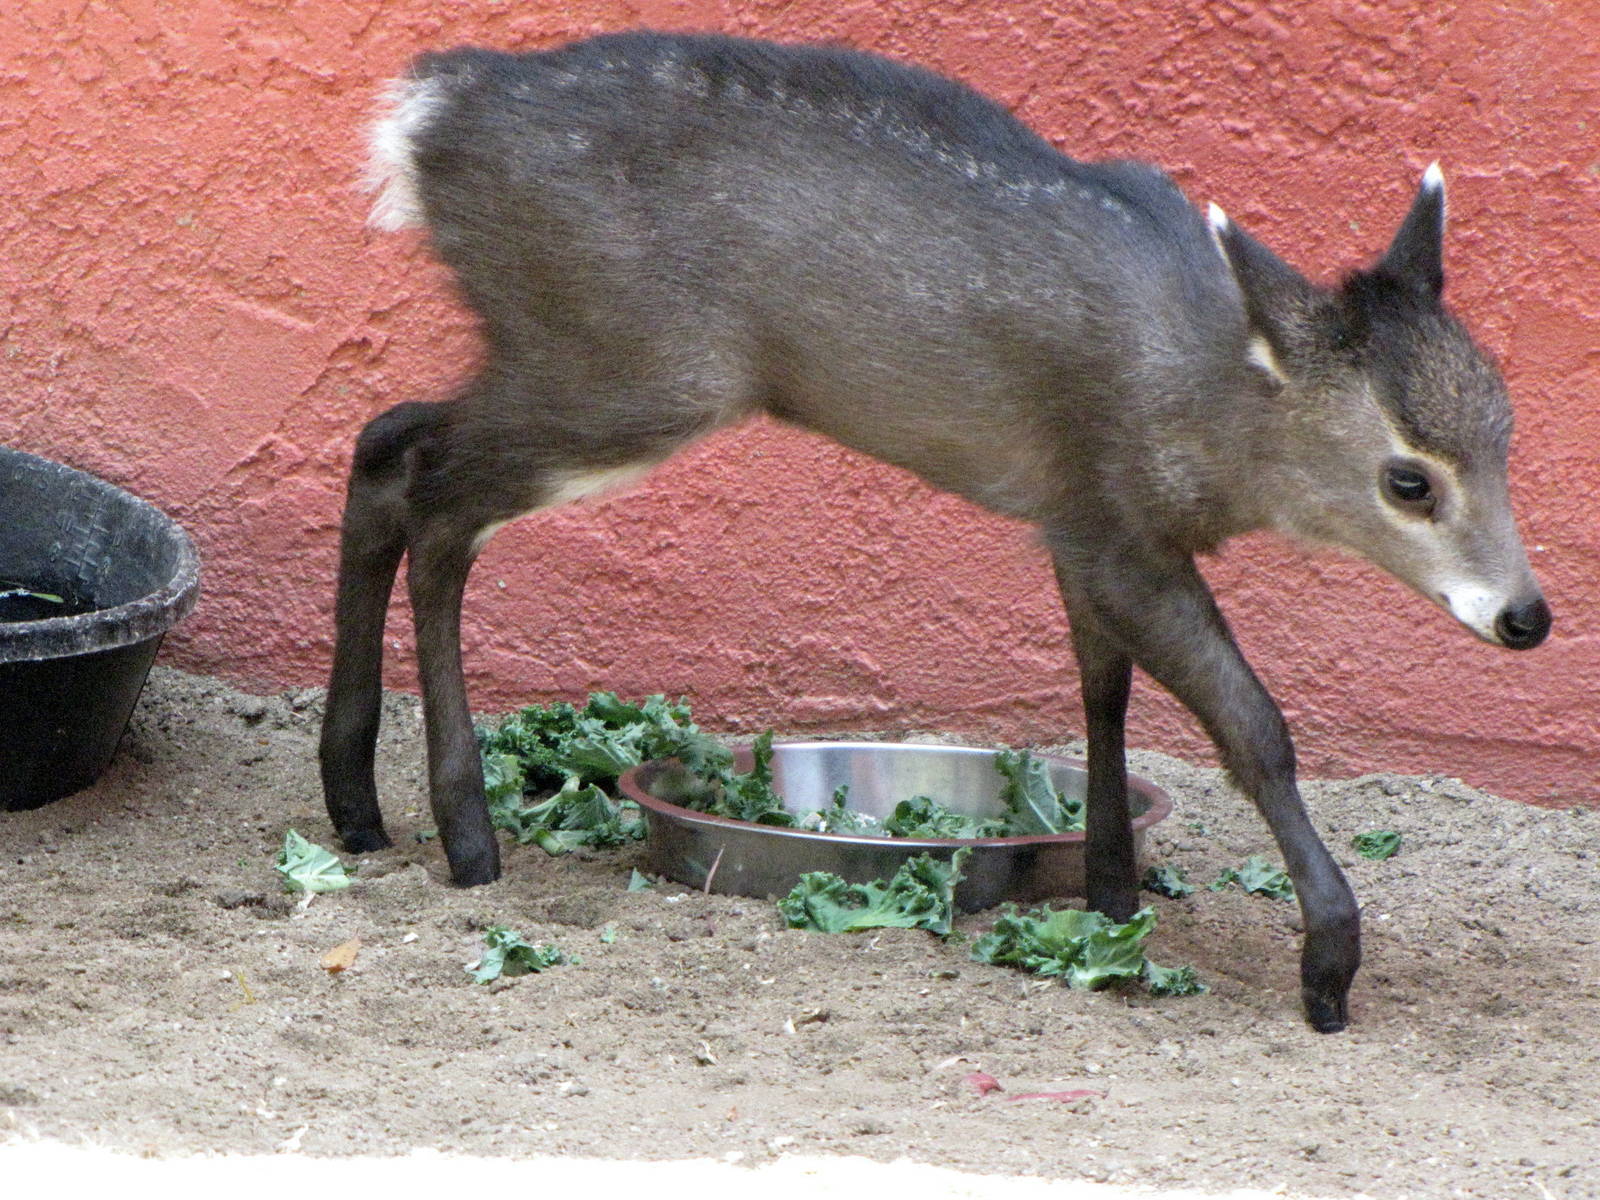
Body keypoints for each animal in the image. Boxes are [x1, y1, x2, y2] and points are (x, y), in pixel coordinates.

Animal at [319, 30, 1551, 1032]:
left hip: (563, 361)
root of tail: (420, 121)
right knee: (438, 500)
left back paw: (357, 803)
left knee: (385, 438)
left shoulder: (1075, 525)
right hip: (629, 367)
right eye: (1407, 479)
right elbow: (1252, 724)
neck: (1207, 405)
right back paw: (465, 833)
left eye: (1506, 428)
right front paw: (1327, 965)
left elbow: (1102, 692)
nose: (1527, 616)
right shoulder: (1117, 523)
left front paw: (1109, 885)